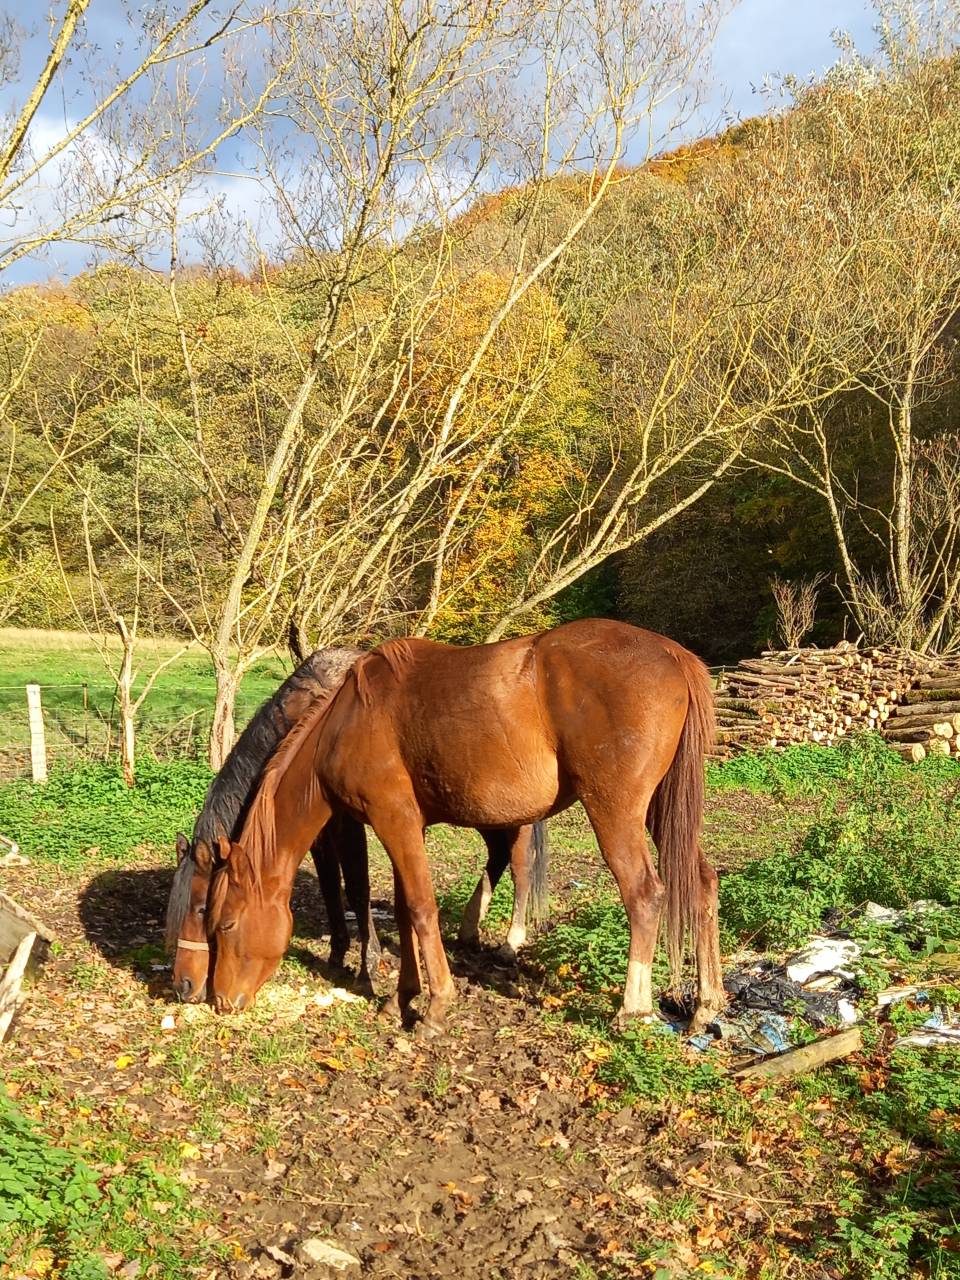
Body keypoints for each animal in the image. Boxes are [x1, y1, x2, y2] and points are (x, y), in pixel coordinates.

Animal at [165, 648, 548, 1002]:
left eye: (203, 909)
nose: (184, 986)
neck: (313, 715)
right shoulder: (318, 831)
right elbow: (330, 886)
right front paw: (338, 951)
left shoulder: (348, 822)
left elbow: (356, 888)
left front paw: (368, 965)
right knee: (497, 856)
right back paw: (470, 928)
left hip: (511, 816)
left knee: (520, 867)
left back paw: (511, 942)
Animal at [207, 619, 725, 1036]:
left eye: (226, 923)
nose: (220, 1001)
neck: (346, 723)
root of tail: (674, 655)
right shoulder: (403, 828)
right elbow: (404, 911)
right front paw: (401, 999)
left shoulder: (393, 819)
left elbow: (421, 909)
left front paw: (435, 1007)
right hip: (662, 812)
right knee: (701, 883)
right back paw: (706, 1004)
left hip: (615, 814)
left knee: (645, 894)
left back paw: (633, 1009)